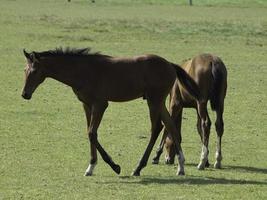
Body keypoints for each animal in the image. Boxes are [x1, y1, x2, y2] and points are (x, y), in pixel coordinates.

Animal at [21, 47, 201, 176]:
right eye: (24, 70)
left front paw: (115, 166)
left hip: (154, 101)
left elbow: (92, 133)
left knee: (156, 128)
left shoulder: (100, 104)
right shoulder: (87, 105)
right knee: (170, 126)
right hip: (159, 101)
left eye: (34, 71)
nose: (25, 94)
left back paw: (139, 167)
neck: (82, 70)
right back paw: (180, 166)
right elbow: (89, 133)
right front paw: (91, 167)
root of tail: (170, 64)